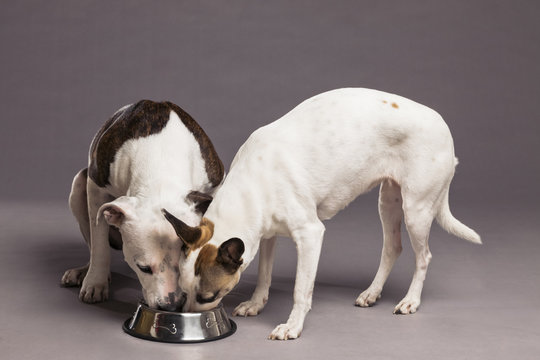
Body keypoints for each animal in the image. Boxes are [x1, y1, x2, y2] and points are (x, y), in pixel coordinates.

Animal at [61, 100, 224, 310]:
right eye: (143, 268)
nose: (171, 306)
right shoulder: (95, 188)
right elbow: (99, 242)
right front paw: (96, 282)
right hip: (78, 186)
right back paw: (85, 272)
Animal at [161, 88, 480, 340]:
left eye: (209, 297)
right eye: (184, 290)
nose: (188, 317)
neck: (252, 180)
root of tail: (442, 123)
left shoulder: (310, 235)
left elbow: (301, 290)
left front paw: (292, 326)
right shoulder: (266, 236)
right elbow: (264, 274)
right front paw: (256, 303)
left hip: (416, 210)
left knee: (423, 256)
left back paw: (411, 300)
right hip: (389, 202)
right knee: (393, 247)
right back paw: (372, 292)